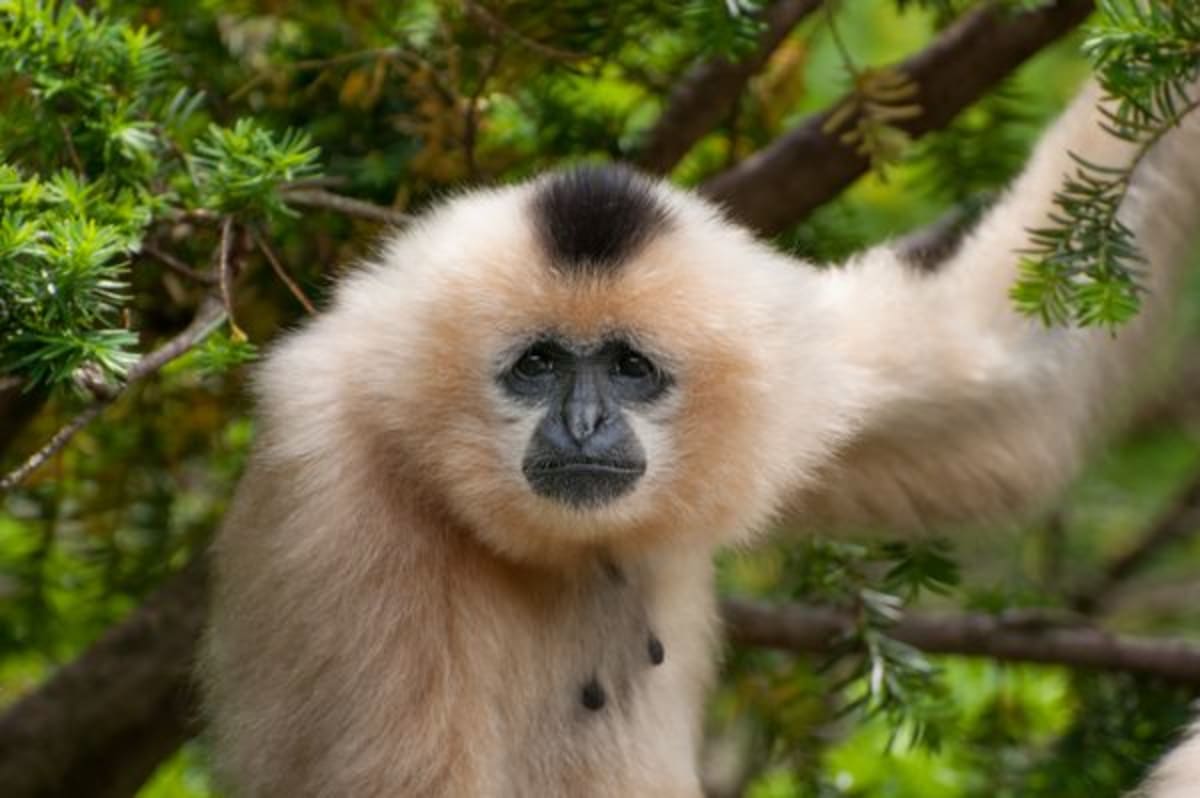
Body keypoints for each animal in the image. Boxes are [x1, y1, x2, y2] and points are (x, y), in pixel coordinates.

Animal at [200, 77, 1200, 797]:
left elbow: (1010, 396)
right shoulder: (343, 501)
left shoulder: (793, 362)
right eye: (537, 364)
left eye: (630, 367)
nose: (584, 421)